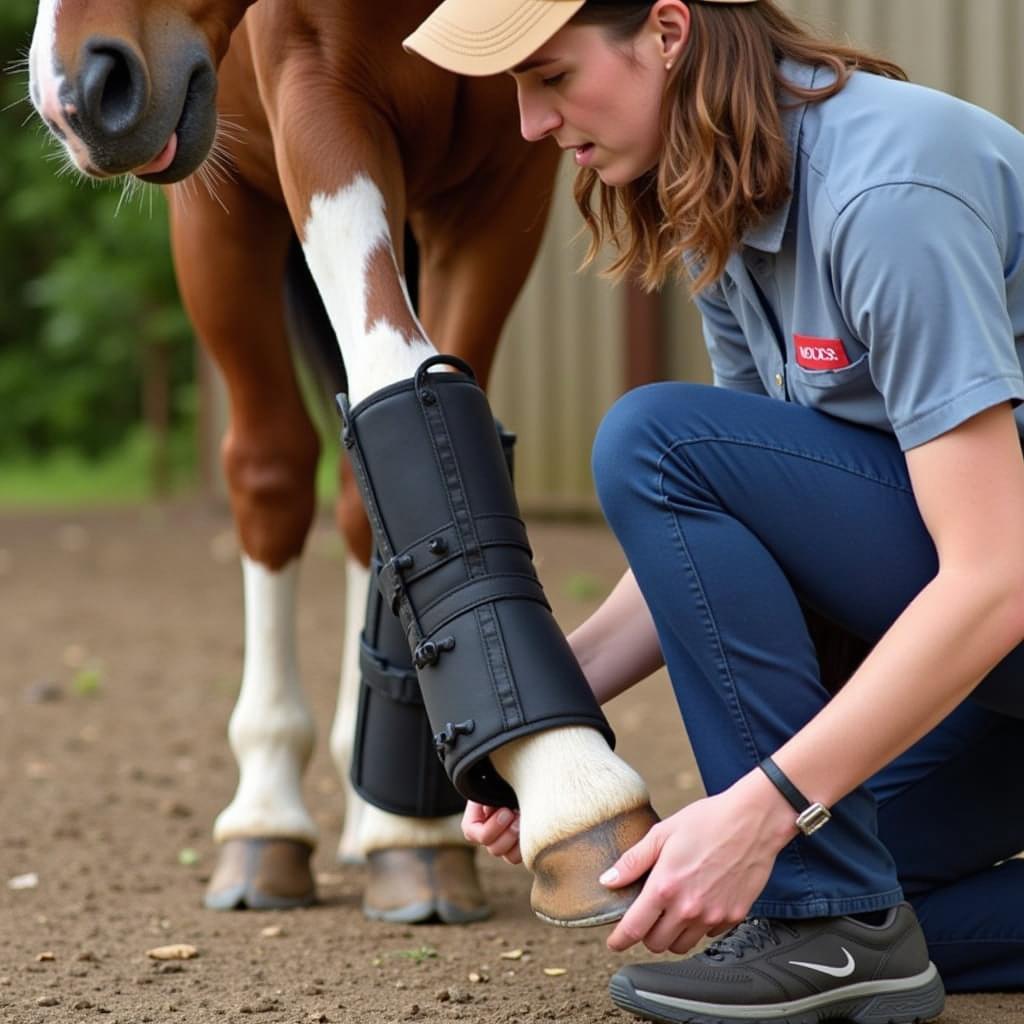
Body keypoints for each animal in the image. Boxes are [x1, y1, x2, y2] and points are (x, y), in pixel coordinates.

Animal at [29, 0, 655, 929]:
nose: (76, 94)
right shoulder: (313, 100)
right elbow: (392, 367)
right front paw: (573, 789)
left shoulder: (506, 183)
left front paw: (471, 809)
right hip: (221, 211)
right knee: (272, 470)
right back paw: (267, 816)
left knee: (357, 511)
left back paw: (385, 822)